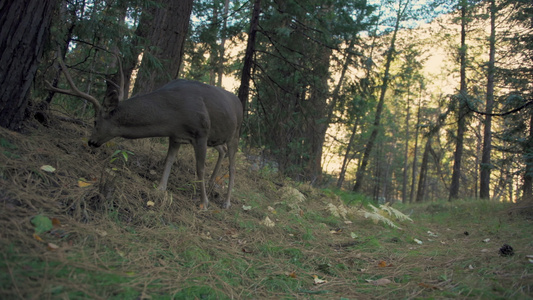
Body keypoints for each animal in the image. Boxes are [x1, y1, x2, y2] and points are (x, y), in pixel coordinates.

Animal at [46, 52, 242, 209]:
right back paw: (211, 185)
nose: (91, 141)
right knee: (222, 150)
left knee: (232, 167)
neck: (173, 115)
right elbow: (168, 161)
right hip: (216, 137)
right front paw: (160, 190)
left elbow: (199, 168)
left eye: (95, 121)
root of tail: (239, 102)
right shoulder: (176, 135)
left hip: (234, 134)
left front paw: (204, 203)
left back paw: (226, 202)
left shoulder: (201, 131)